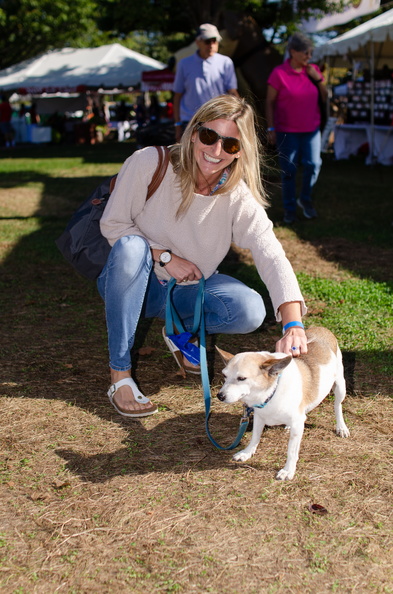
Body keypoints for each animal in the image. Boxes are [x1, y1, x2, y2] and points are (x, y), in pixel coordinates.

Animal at [217, 326, 350, 478]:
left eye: (242, 378)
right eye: (225, 375)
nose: (220, 396)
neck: (272, 391)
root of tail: (321, 328)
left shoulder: (297, 424)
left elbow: (291, 451)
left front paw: (288, 470)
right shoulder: (259, 418)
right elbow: (255, 437)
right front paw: (247, 453)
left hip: (340, 386)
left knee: (337, 406)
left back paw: (341, 427)